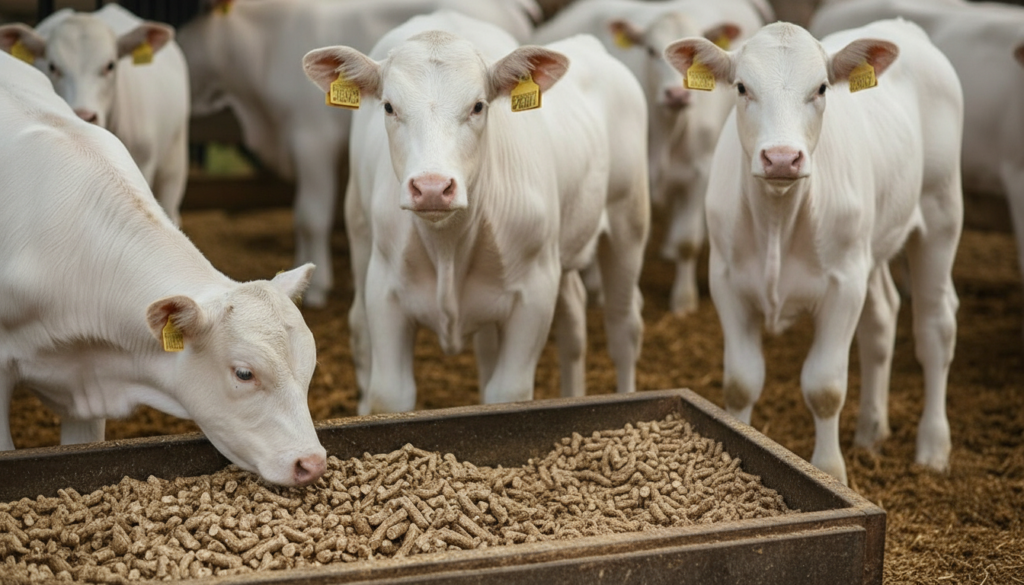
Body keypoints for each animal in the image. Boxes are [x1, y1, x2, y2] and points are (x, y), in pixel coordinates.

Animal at [302, 11, 650, 415]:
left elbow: (507, 391)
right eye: (388, 106)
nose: (432, 186)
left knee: (623, 326)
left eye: (479, 105)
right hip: (360, 234)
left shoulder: (534, 292)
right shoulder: (384, 290)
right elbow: (390, 394)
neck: (448, 245)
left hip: (628, 223)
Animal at [664, 19, 963, 484]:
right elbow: (741, 382)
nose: (782, 158)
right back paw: (871, 431)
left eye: (821, 88)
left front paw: (830, 473)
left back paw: (932, 449)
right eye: (742, 87)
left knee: (935, 327)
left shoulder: (843, 286)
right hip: (871, 244)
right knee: (882, 319)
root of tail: (901, 25)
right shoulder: (727, 281)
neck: (778, 220)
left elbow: (825, 387)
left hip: (941, 212)